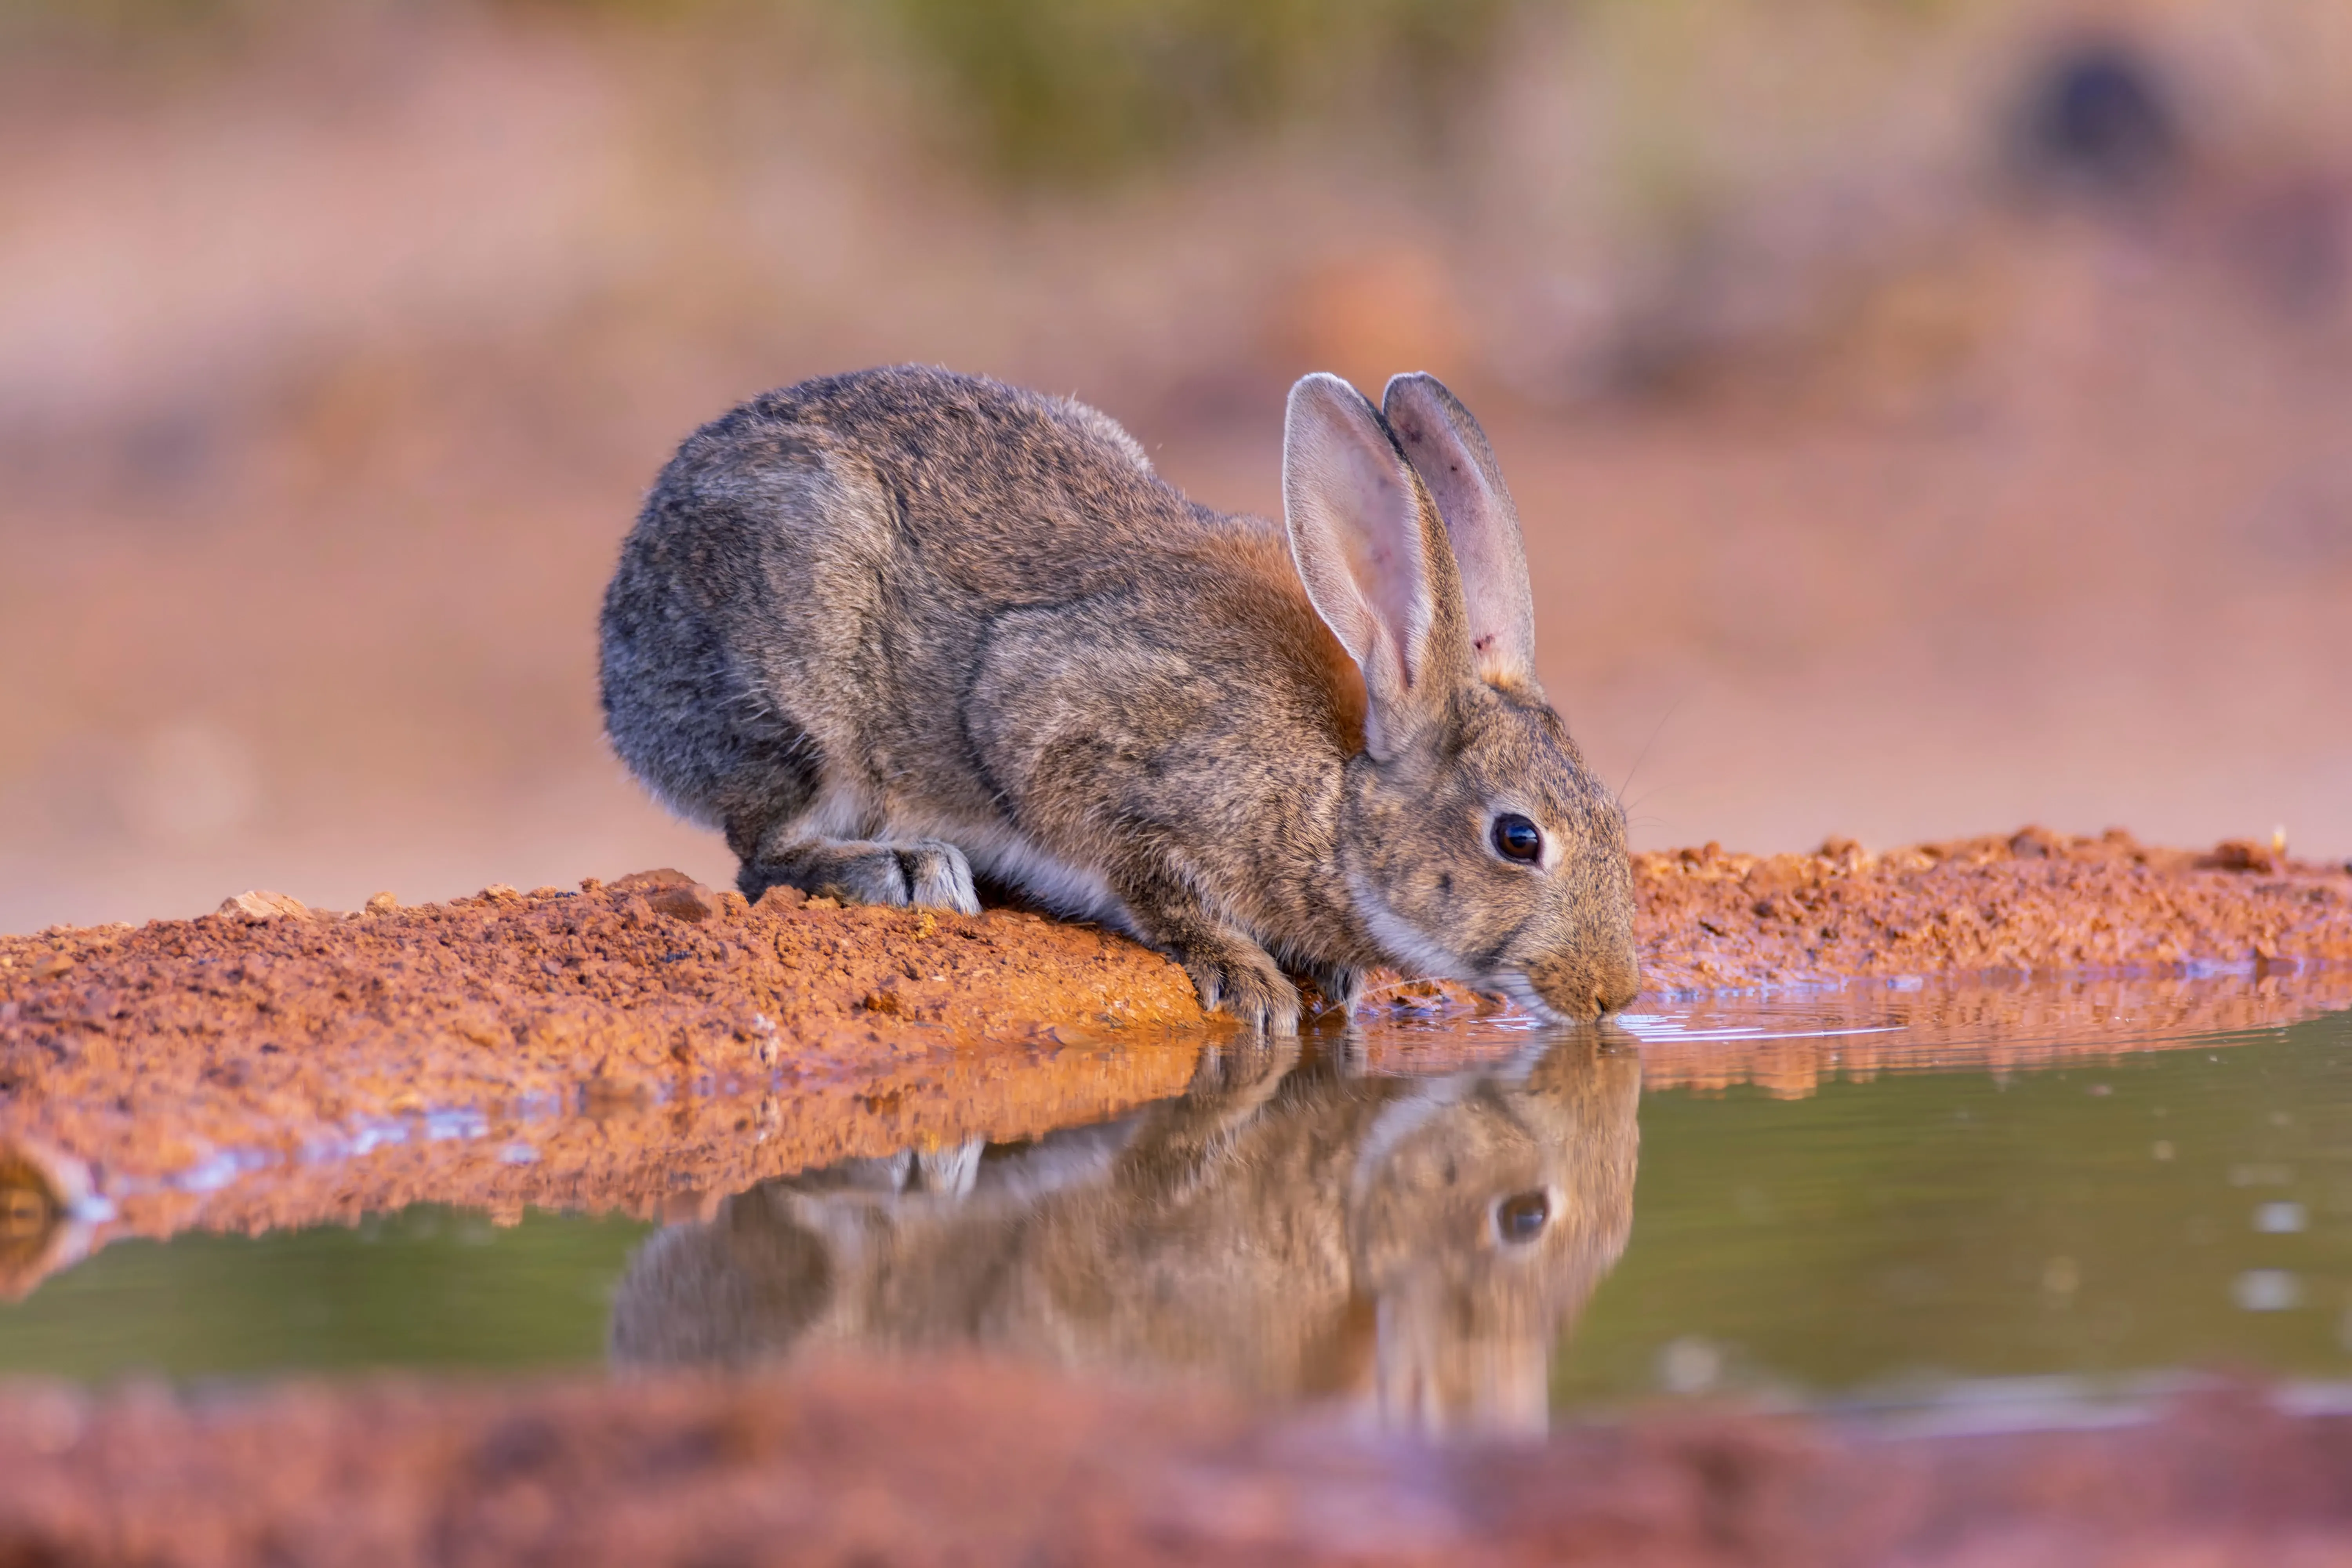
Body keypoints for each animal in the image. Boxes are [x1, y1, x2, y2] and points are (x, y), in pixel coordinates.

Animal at [599, 364, 1639, 1030]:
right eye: (1518, 838)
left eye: (1616, 819)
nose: (1613, 992)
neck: (1337, 791)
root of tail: (620, 643)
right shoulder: (1076, 741)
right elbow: (1145, 873)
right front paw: (1246, 977)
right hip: (805, 686)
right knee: (762, 853)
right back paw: (909, 869)